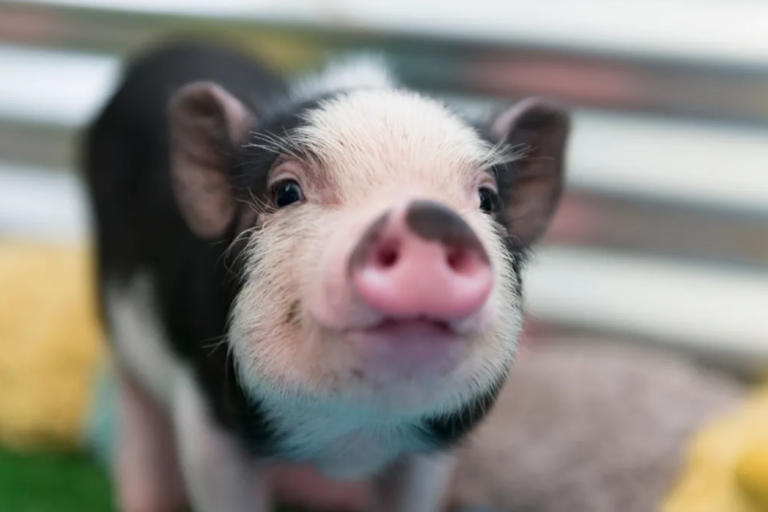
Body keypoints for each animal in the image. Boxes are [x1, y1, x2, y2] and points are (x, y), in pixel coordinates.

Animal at [81, 38, 570, 512]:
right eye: (286, 191)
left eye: (487, 199)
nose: (429, 219)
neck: (350, 440)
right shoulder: (208, 418)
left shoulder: (429, 450)